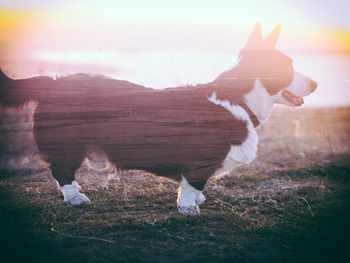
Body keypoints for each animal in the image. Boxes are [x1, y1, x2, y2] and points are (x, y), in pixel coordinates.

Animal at [0, 23, 318, 216]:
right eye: (289, 66)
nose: (316, 84)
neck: (238, 99)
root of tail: (53, 82)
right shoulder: (197, 165)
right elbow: (192, 186)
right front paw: (189, 209)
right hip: (68, 146)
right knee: (62, 172)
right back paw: (75, 198)